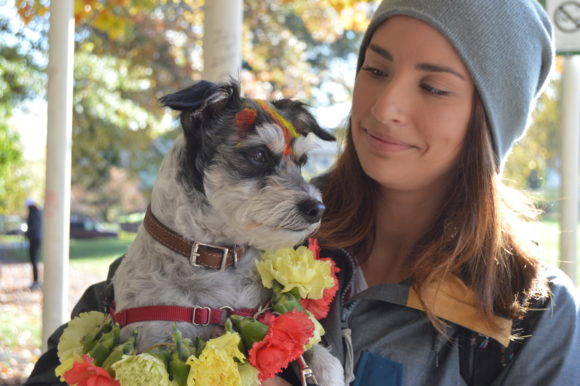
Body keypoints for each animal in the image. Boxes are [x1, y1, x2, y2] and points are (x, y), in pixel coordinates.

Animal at [109, 80, 344, 384]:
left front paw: (328, 370)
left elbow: (316, 354)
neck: (214, 256)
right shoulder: (155, 338)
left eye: (302, 161)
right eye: (258, 154)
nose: (317, 208)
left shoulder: (266, 317)